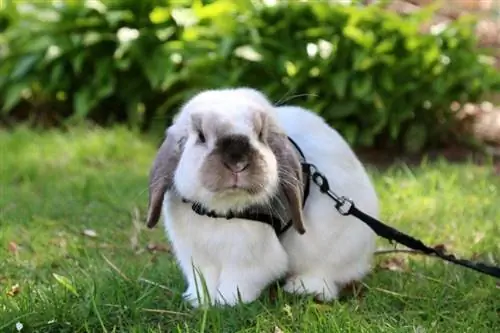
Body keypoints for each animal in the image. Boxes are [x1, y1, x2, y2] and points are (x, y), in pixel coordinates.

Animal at [146, 87, 378, 308]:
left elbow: (238, 281)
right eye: (201, 136)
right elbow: (204, 281)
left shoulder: (249, 260)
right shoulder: (197, 257)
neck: (220, 211)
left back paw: (303, 288)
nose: (237, 161)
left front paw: (228, 302)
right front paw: (199, 302)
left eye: (260, 134)